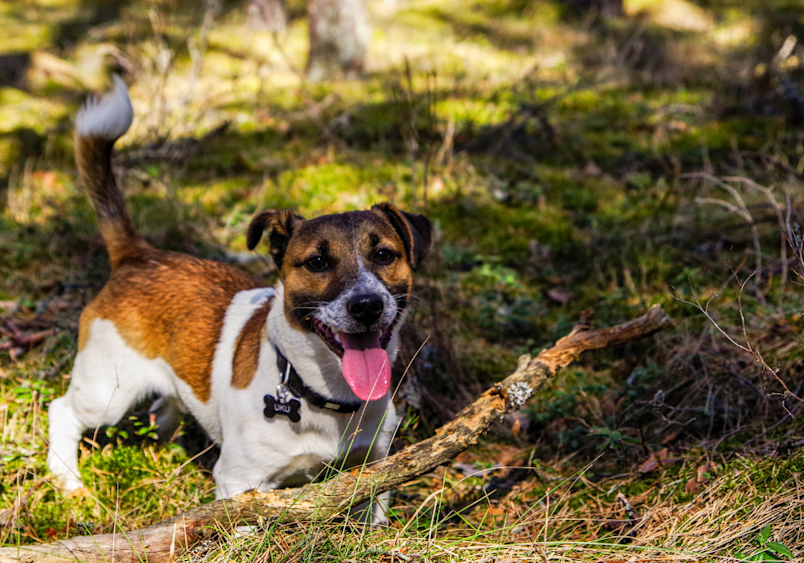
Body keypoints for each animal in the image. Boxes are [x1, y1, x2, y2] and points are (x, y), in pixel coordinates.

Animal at [46, 76, 430, 516]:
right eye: (317, 262)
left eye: (384, 255)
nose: (367, 305)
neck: (322, 395)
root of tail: (138, 255)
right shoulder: (240, 485)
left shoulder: (375, 469)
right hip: (105, 392)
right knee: (62, 411)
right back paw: (68, 480)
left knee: (164, 408)